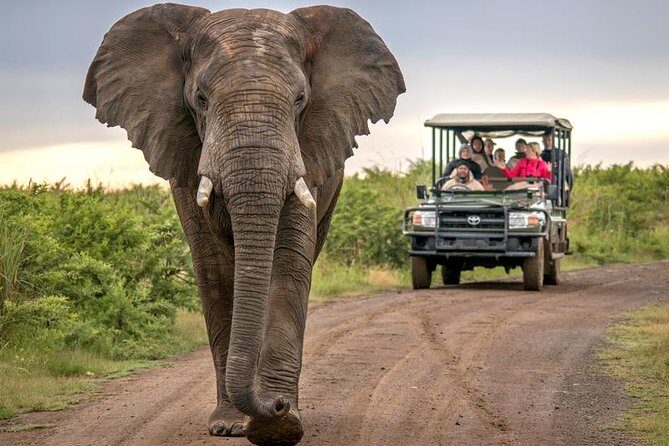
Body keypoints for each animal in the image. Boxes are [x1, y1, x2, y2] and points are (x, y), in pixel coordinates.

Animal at [83, 4, 404, 445]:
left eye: (301, 99)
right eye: (200, 99)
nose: (277, 404)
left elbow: (288, 265)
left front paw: (279, 425)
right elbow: (215, 270)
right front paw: (233, 425)